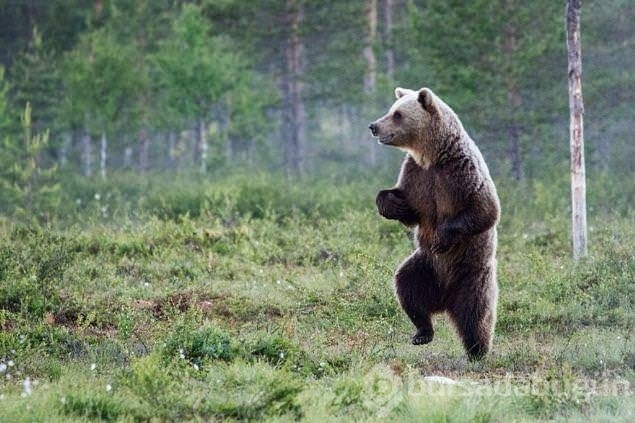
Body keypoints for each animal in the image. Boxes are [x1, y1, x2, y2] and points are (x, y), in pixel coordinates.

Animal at [368, 88, 502, 360]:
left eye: (397, 114)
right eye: (391, 109)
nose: (374, 126)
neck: (431, 156)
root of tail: (445, 300)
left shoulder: (460, 173)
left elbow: (485, 210)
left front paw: (443, 237)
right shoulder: (416, 176)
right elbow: (409, 208)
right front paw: (392, 204)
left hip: (471, 275)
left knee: (476, 315)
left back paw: (478, 351)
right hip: (425, 266)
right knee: (406, 287)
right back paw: (422, 332)